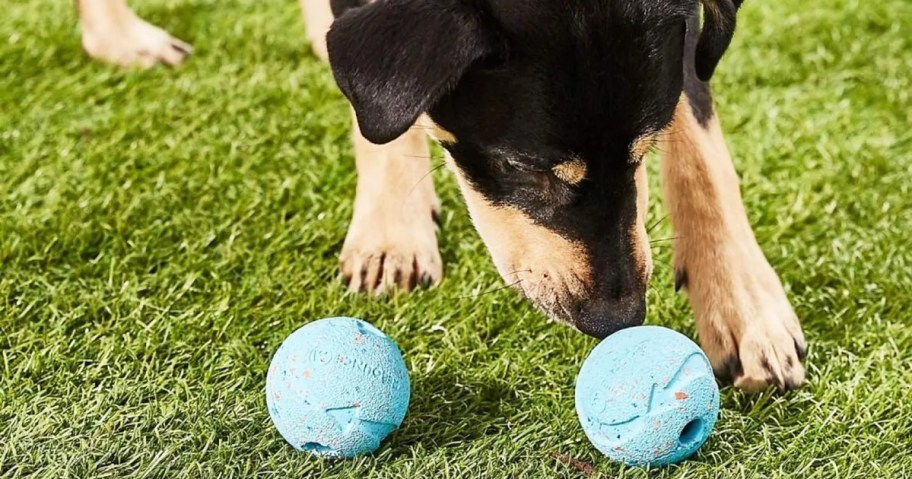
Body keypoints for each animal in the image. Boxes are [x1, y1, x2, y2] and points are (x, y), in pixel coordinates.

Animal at [76, 0, 804, 392]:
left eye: (643, 151)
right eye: (522, 167)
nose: (617, 318)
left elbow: (702, 143)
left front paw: (746, 306)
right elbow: (379, 111)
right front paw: (392, 228)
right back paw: (120, 37)